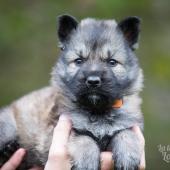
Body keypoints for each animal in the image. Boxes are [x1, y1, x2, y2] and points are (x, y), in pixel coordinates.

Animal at [0, 14, 143, 170]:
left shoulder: (128, 125)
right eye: (79, 61)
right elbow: (83, 137)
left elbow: (125, 133)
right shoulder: (52, 137)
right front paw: (87, 161)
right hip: (7, 125)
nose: (93, 81)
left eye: (112, 62)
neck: (96, 110)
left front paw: (127, 156)